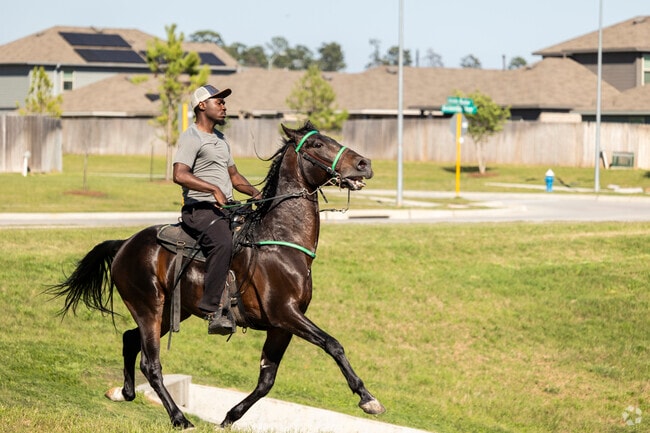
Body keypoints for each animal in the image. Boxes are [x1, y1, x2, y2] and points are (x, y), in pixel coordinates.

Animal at [48, 121, 384, 429]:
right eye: (316, 144)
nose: (364, 164)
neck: (279, 239)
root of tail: (124, 244)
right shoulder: (286, 314)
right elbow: (333, 344)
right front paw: (368, 398)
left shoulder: (281, 326)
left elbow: (266, 381)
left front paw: (229, 418)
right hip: (149, 309)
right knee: (151, 364)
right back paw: (180, 418)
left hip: (170, 313)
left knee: (130, 339)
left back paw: (123, 392)